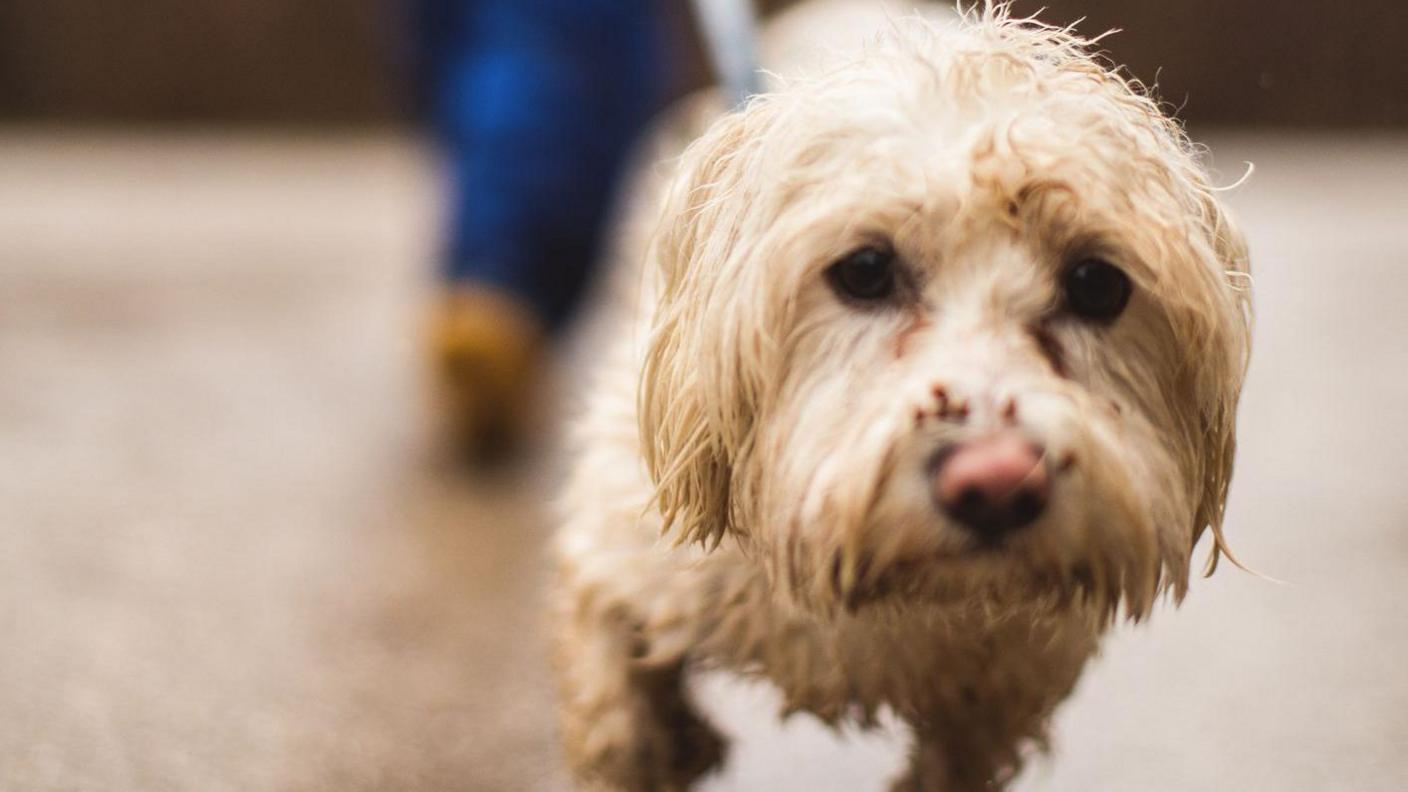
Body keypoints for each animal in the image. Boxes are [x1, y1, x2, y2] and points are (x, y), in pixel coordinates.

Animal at [549, 3, 1255, 783]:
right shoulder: (615, 546)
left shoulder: (995, 706)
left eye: (1097, 284)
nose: (997, 483)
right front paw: (663, 738)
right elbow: (618, 718)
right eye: (864, 269)